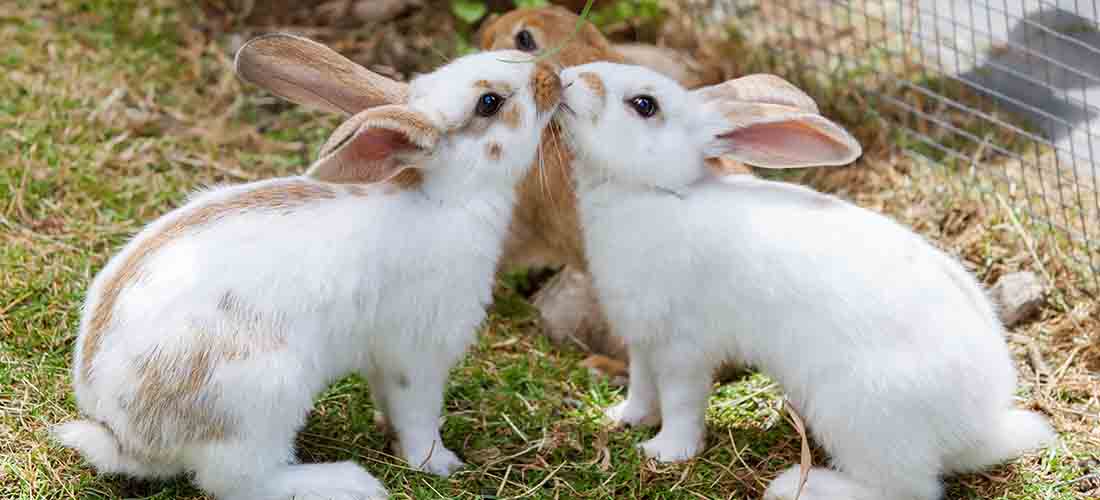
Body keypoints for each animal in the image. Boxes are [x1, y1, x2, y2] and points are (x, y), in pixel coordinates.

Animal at [49, 33, 558, 498]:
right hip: (262, 397)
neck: (444, 195)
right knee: (239, 483)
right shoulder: (416, 353)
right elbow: (417, 415)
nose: (551, 75)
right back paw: (348, 483)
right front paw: (439, 463)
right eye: (489, 103)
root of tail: (120, 431)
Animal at [558, 62, 1056, 500]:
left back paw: (798, 485)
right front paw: (624, 417)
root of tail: (980, 427)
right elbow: (643, 387)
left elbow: (681, 404)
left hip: (857, 413)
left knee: (907, 490)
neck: (654, 192)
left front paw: (664, 452)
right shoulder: (642, 341)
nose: (566, 77)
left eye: (644, 105)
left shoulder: (683, 348)